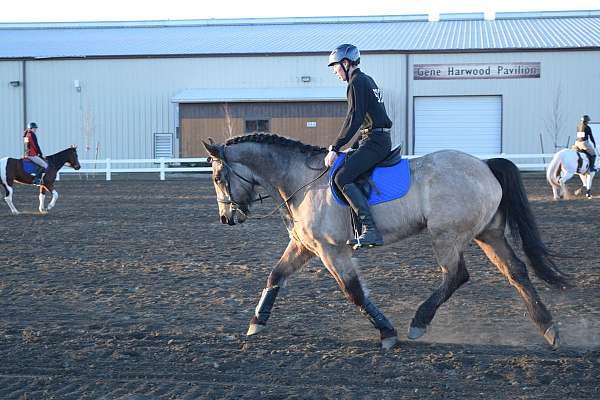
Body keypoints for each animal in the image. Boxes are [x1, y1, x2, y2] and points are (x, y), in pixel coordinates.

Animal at [200, 134, 568, 350]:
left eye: (218, 177)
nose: (226, 218)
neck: (302, 181)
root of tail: (484, 164)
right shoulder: (306, 247)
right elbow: (275, 275)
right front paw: (256, 323)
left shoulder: (331, 249)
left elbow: (354, 291)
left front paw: (388, 333)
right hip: (487, 234)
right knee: (516, 271)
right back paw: (548, 328)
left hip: (447, 236)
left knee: (457, 275)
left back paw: (419, 322)